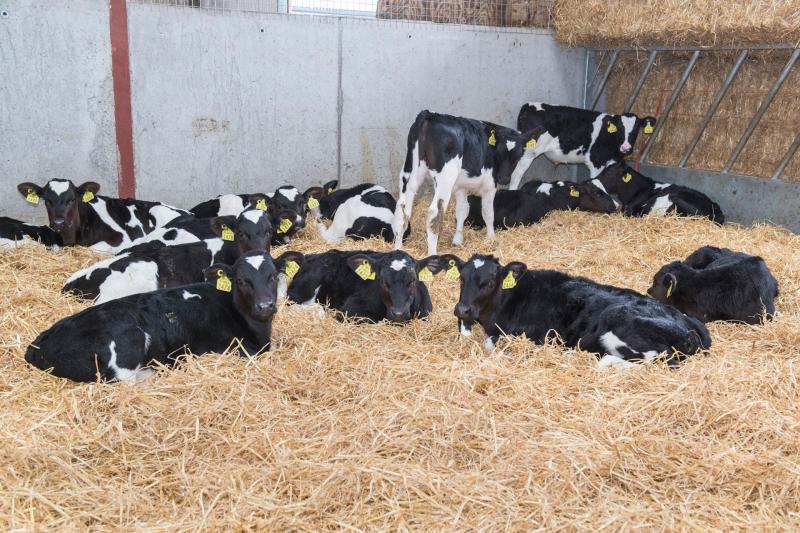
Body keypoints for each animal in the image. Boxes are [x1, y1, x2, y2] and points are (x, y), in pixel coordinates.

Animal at [25, 250, 294, 383]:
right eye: (240, 280)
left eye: (273, 275)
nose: (265, 305)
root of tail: (37, 346)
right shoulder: (230, 349)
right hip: (129, 338)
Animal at [392, 110, 543, 255]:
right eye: (499, 153)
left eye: (518, 156)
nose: (503, 179)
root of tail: (430, 115)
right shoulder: (489, 185)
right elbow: (488, 212)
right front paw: (491, 238)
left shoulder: (461, 186)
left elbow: (462, 210)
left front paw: (458, 240)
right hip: (445, 178)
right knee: (434, 213)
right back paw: (432, 254)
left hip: (409, 172)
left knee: (402, 208)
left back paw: (398, 249)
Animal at [516, 103, 656, 183]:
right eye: (619, 128)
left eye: (636, 129)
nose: (626, 147)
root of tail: (528, 105)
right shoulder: (596, 162)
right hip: (528, 152)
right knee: (517, 173)